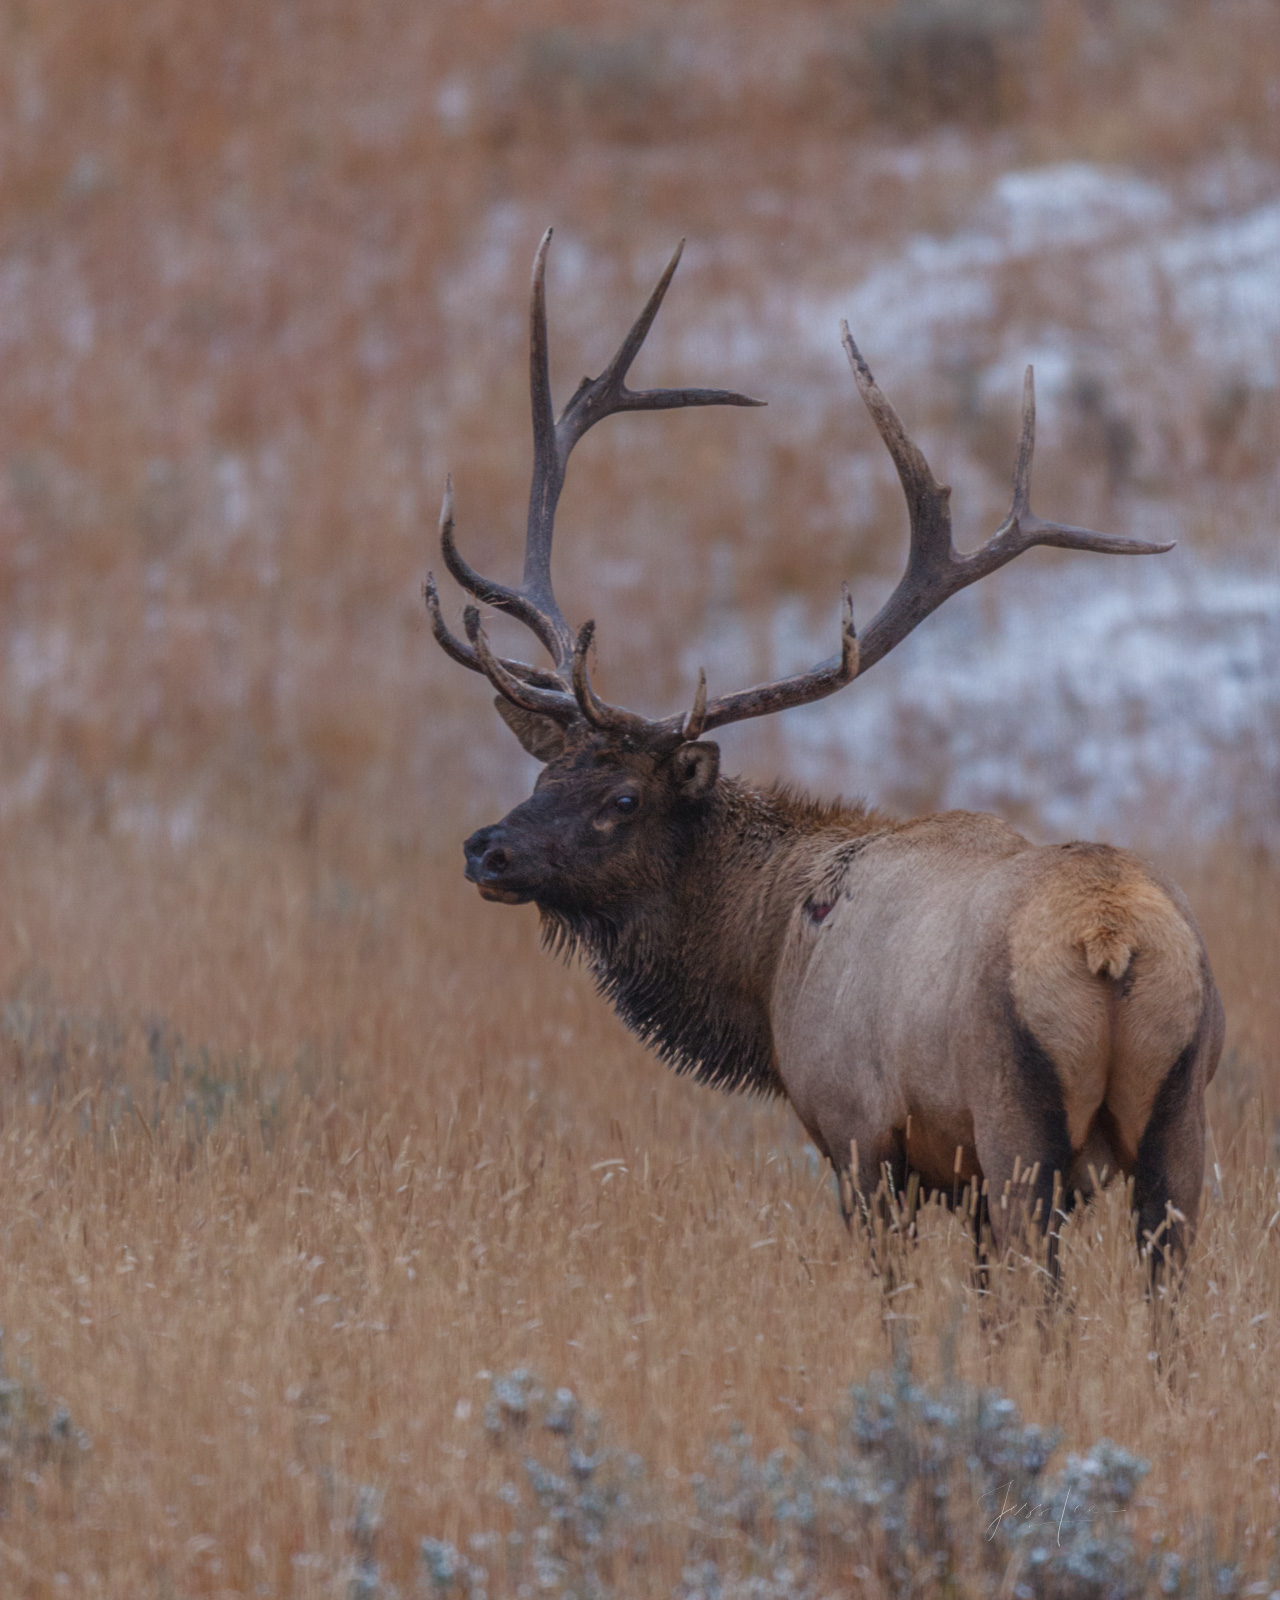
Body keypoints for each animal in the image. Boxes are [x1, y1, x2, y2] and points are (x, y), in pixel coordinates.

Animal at [425, 232, 1222, 1267]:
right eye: (546, 767)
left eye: (625, 799)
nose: (487, 849)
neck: (764, 964)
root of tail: (1110, 941)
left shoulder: (858, 1132)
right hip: (1181, 1127)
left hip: (1016, 1125)